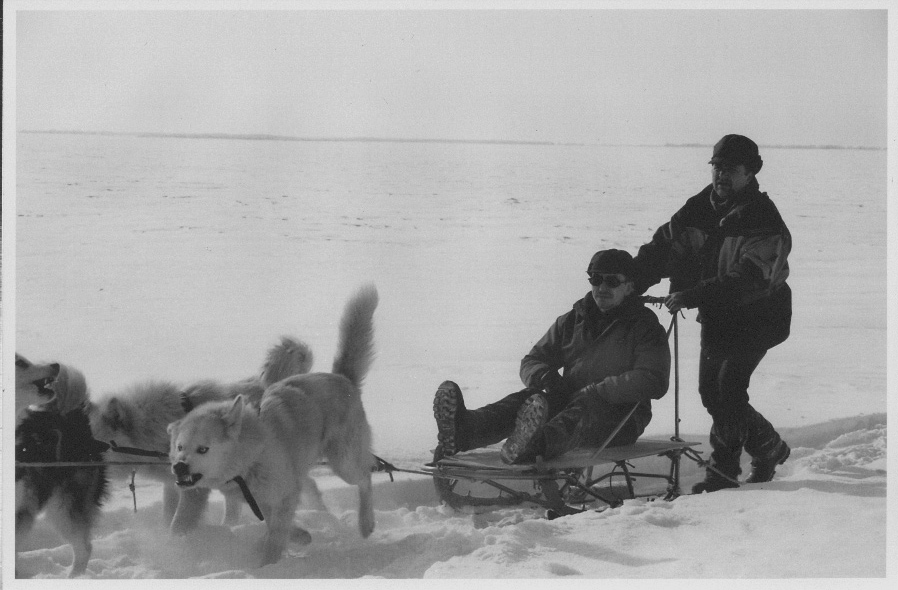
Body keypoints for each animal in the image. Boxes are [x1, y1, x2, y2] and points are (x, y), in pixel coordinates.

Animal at [168, 286, 378, 568]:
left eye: (203, 449)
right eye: (180, 447)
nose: (179, 466)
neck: (250, 457)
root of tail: (342, 378)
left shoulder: (285, 493)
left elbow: (276, 534)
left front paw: (267, 564)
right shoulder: (264, 499)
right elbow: (277, 525)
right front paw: (301, 536)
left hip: (344, 461)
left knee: (365, 478)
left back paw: (366, 523)